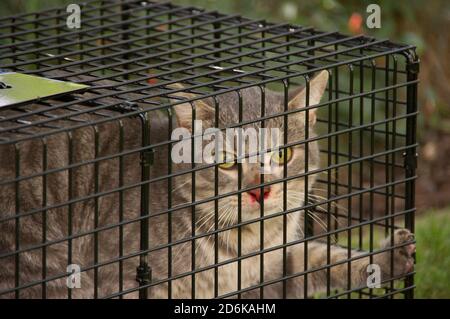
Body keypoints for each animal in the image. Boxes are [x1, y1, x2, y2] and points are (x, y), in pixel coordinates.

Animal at [0, 70, 414, 300]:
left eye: (283, 155)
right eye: (227, 161)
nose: (260, 190)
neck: (248, 243)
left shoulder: (272, 266)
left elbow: (323, 258)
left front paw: (387, 259)